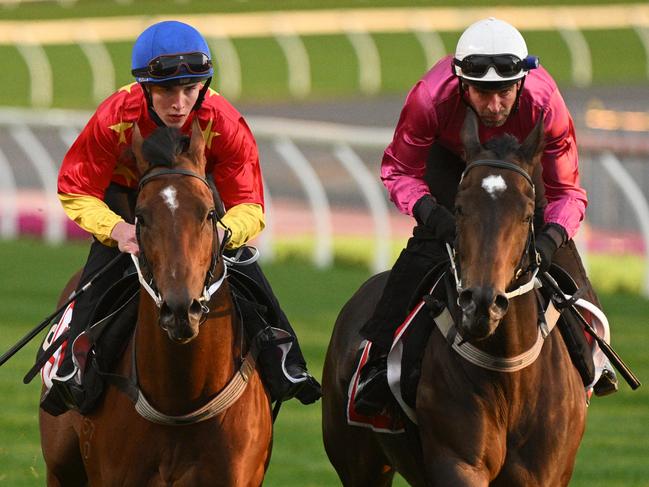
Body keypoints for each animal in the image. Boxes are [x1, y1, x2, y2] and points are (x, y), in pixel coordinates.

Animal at [324, 111, 588, 487]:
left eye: (526, 214)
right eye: (460, 209)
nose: (481, 303)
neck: (509, 376)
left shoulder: (543, 473)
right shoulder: (457, 462)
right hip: (359, 462)